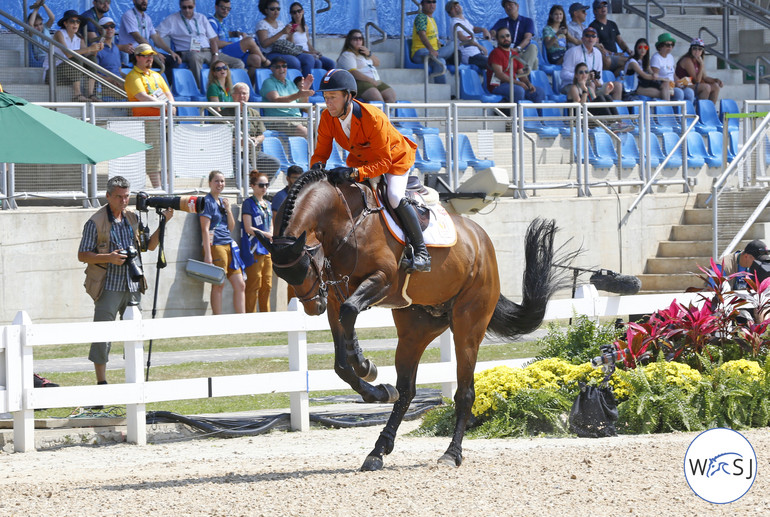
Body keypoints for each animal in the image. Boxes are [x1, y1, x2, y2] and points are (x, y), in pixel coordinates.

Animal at [255, 168, 560, 468]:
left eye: (306, 264)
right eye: (282, 273)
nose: (311, 307)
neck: (345, 219)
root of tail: (481, 241)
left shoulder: (381, 279)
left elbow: (350, 313)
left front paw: (364, 365)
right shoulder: (334, 297)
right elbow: (342, 359)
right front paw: (372, 381)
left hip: (468, 325)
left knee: (464, 392)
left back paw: (451, 453)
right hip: (415, 330)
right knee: (406, 392)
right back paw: (378, 449)